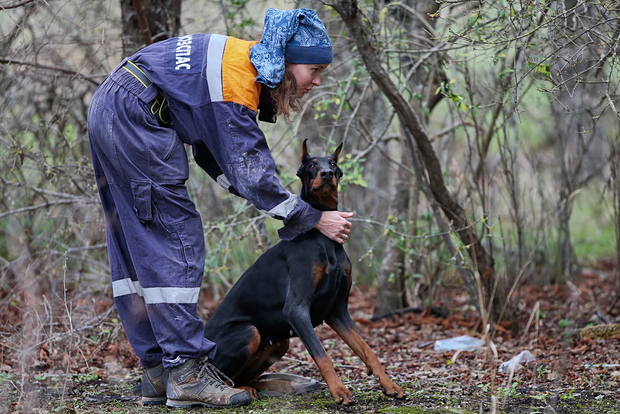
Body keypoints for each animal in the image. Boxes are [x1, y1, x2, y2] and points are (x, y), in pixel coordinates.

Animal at [205, 139, 406, 404]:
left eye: (333, 164)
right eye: (311, 165)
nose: (327, 173)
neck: (324, 239)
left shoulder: (338, 310)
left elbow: (366, 349)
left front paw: (389, 385)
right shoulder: (297, 309)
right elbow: (322, 355)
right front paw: (339, 391)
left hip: (279, 342)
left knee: (242, 378)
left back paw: (272, 386)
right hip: (249, 332)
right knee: (224, 376)